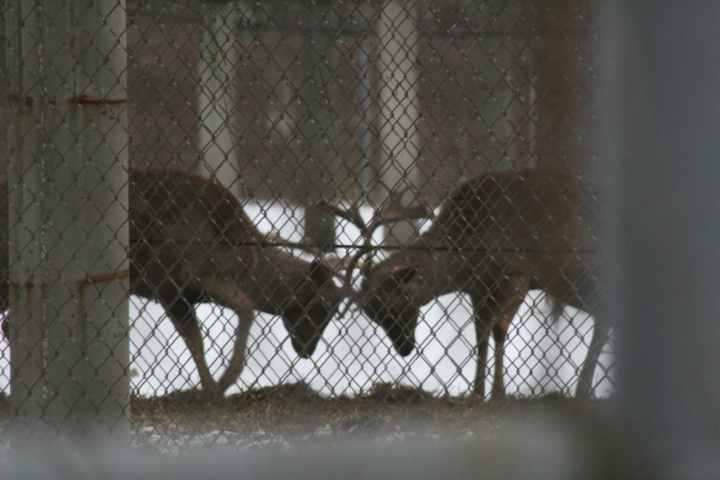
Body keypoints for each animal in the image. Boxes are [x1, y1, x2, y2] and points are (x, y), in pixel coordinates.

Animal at [0, 171, 344, 396]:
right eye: (322, 303)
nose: (307, 350)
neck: (247, 260)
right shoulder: (188, 274)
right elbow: (244, 308)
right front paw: (225, 380)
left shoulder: (173, 293)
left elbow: (194, 339)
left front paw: (210, 390)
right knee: (9, 322)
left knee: (9, 322)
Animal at [320, 169, 608, 402]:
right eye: (373, 315)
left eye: (395, 302)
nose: (405, 349)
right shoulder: (476, 287)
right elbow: (480, 334)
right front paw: (477, 393)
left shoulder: (519, 271)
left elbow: (498, 330)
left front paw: (498, 394)